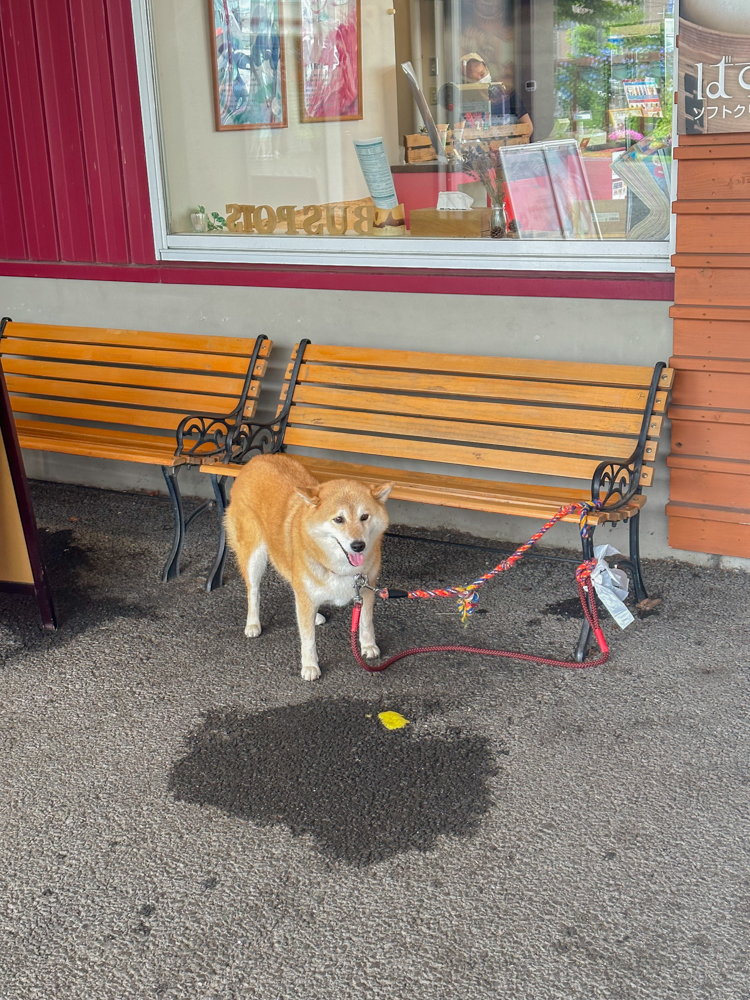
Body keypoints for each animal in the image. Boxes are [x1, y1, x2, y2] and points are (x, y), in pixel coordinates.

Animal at [223, 454, 394, 680]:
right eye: (338, 519)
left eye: (364, 516)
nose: (358, 545)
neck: (342, 569)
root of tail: (259, 458)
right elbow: (308, 639)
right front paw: (310, 665)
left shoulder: (366, 589)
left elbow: (366, 621)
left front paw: (368, 646)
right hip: (254, 556)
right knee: (254, 592)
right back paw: (253, 623)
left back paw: (317, 615)